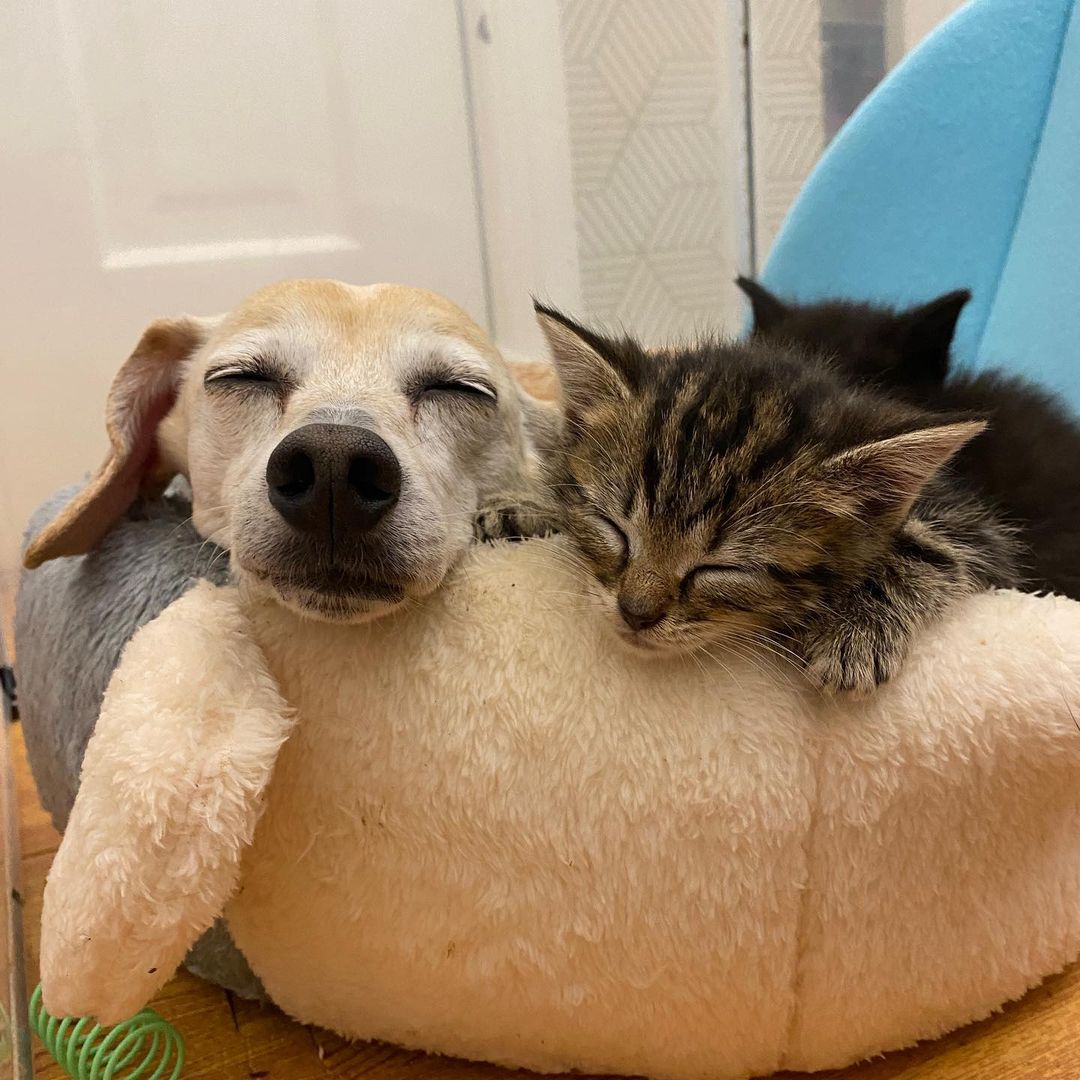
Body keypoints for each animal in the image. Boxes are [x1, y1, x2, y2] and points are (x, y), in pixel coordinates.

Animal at [537, 302, 1019, 691]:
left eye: (724, 568)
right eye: (613, 528)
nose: (635, 613)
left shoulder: (975, 527)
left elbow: (933, 547)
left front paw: (855, 629)